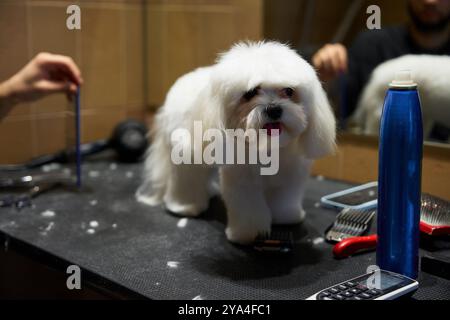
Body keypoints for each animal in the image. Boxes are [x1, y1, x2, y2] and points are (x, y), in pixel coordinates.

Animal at [135, 41, 336, 244]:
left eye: (289, 91)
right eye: (250, 93)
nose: (273, 109)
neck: (268, 149)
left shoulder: (289, 177)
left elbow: (283, 200)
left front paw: (286, 217)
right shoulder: (243, 181)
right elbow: (248, 208)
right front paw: (248, 234)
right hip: (188, 152)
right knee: (187, 177)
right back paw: (184, 206)